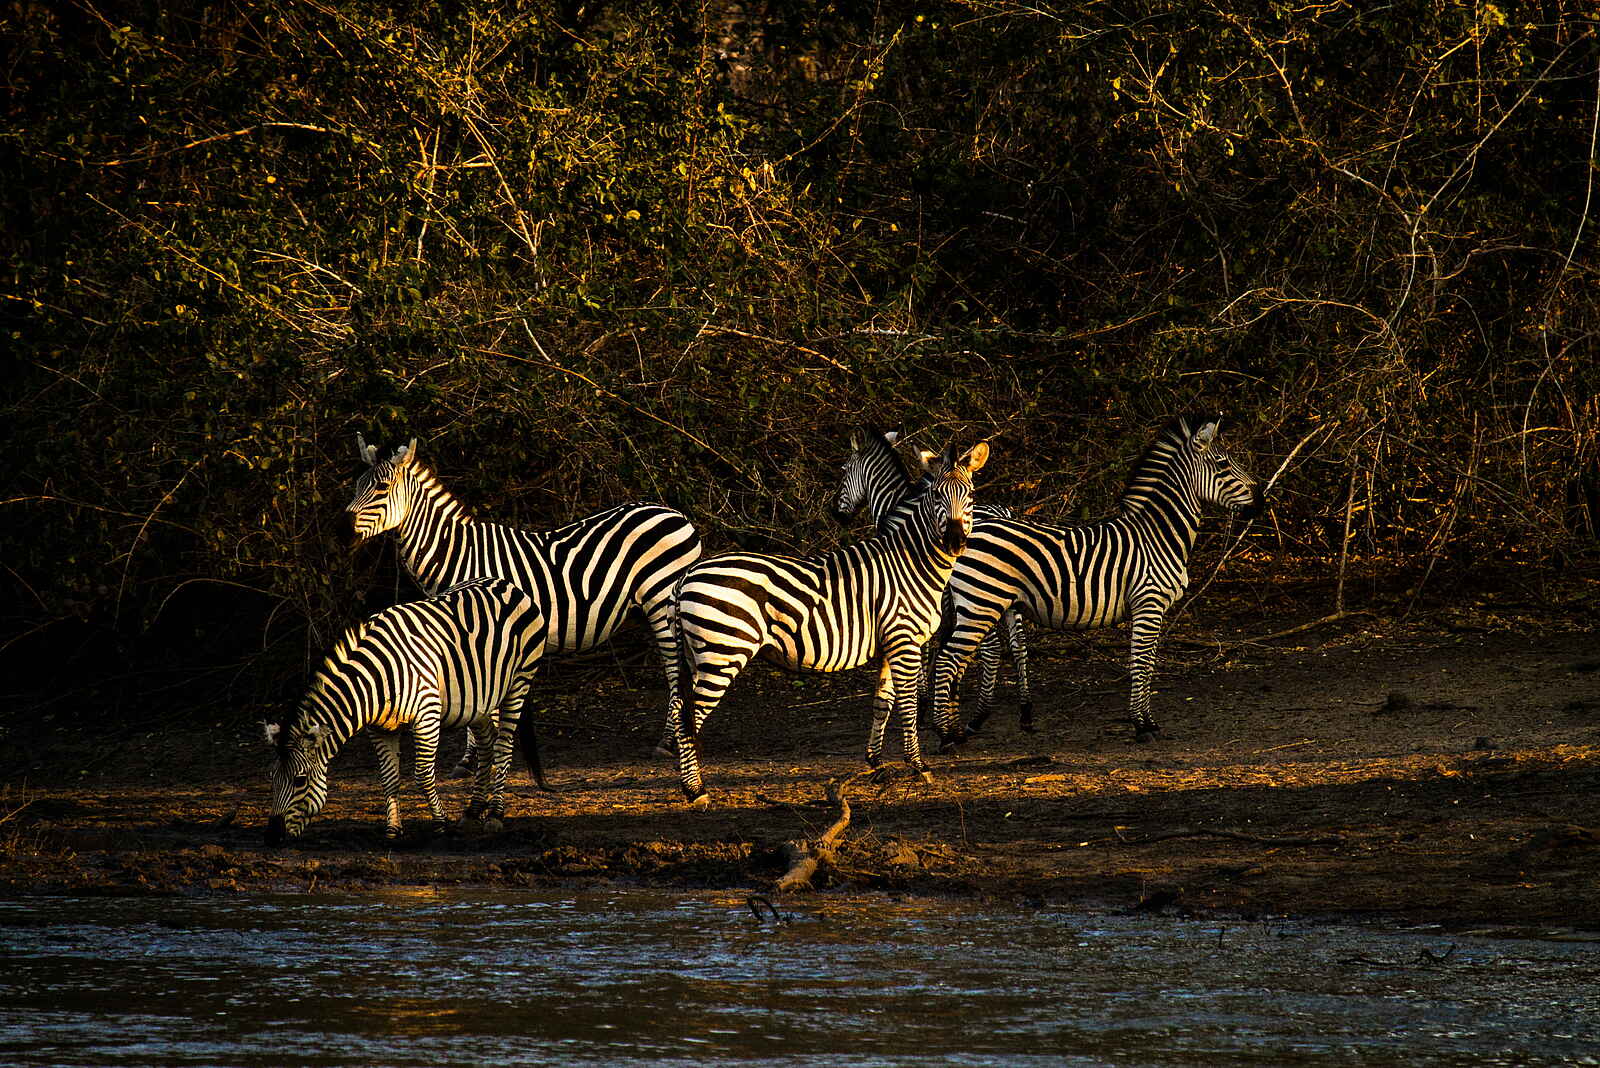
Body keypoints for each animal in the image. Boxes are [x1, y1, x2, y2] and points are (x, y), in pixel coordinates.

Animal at [264, 578, 549, 844]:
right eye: (272, 777)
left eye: (300, 780)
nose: (272, 837)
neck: (375, 679)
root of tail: (505, 583)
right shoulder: (379, 728)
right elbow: (389, 777)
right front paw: (393, 830)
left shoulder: (426, 714)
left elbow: (422, 775)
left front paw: (440, 824)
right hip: (479, 701)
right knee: (487, 744)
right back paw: (472, 811)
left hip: (519, 682)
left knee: (503, 747)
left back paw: (495, 815)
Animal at [345, 437, 702, 771]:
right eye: (357, 486)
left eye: (381, 488)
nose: (343, 531)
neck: (457, 554)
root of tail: (677, 515)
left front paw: (475, 758)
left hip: (661, 601)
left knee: (675, 670)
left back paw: (668, 741)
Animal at [670, 440, 990, 806]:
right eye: (937, 495)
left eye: (970, 494)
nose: (955, 542)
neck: (912, 562)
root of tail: (688, 573)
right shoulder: (904, 641)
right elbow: (908, 705)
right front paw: (918, 766)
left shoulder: (889, 645)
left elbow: (882, 703)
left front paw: (876, 764)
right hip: (723, 652)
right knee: (690, 716)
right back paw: (696, 791)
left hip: (698, 654)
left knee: (679, 708)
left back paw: (691, 785)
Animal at [832, 427, 1034, 734]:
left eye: (844, 471)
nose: (837, 514)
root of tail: (1002, 513)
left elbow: (926, 647)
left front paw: (924, 703)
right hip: (1004, 594)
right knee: (1018, 644)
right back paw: (1024, 712)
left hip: (979, 595)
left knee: (991, 648)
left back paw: (979, 716)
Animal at [931, 414, 1262, 745]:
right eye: (1222, 465)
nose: (1261, 500)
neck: (1157, 535)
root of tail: (962, 534)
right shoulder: (1148, 602)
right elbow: (1141, 664)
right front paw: (1141, 725)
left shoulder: (1152, 609)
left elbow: (1149, 663)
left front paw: (1148, 721)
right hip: (981, 603)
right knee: (948, 660)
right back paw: (946, 735)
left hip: (979, 604)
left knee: (958, 659)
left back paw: (957, 728)